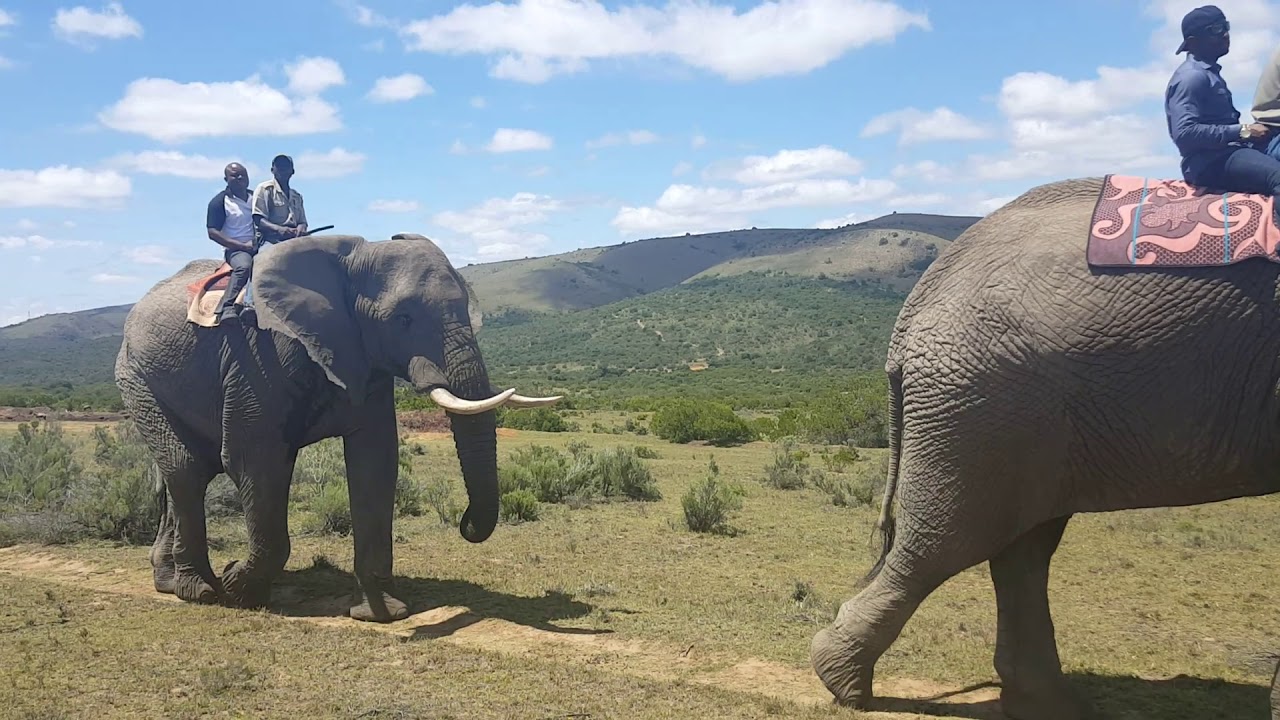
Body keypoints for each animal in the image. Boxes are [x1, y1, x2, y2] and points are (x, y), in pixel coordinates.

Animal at [114, 232, 559, 621]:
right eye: (403, 318)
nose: (465, 523)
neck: (350, 261)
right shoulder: (257, 357)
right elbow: (254, 459)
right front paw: (238, 589)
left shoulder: (364, 358)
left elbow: (375, 461)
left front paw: (383, 614)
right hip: (136, 376)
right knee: (186, 470)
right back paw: (200, 591)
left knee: (181, 473)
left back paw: (170, 582)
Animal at [808, 177, 1280, 720]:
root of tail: (914, 309)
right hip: (989, 395)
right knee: (949, 543)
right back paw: (844, 682)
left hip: (1019, 414)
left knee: (1021, 549)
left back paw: (1046, 704)